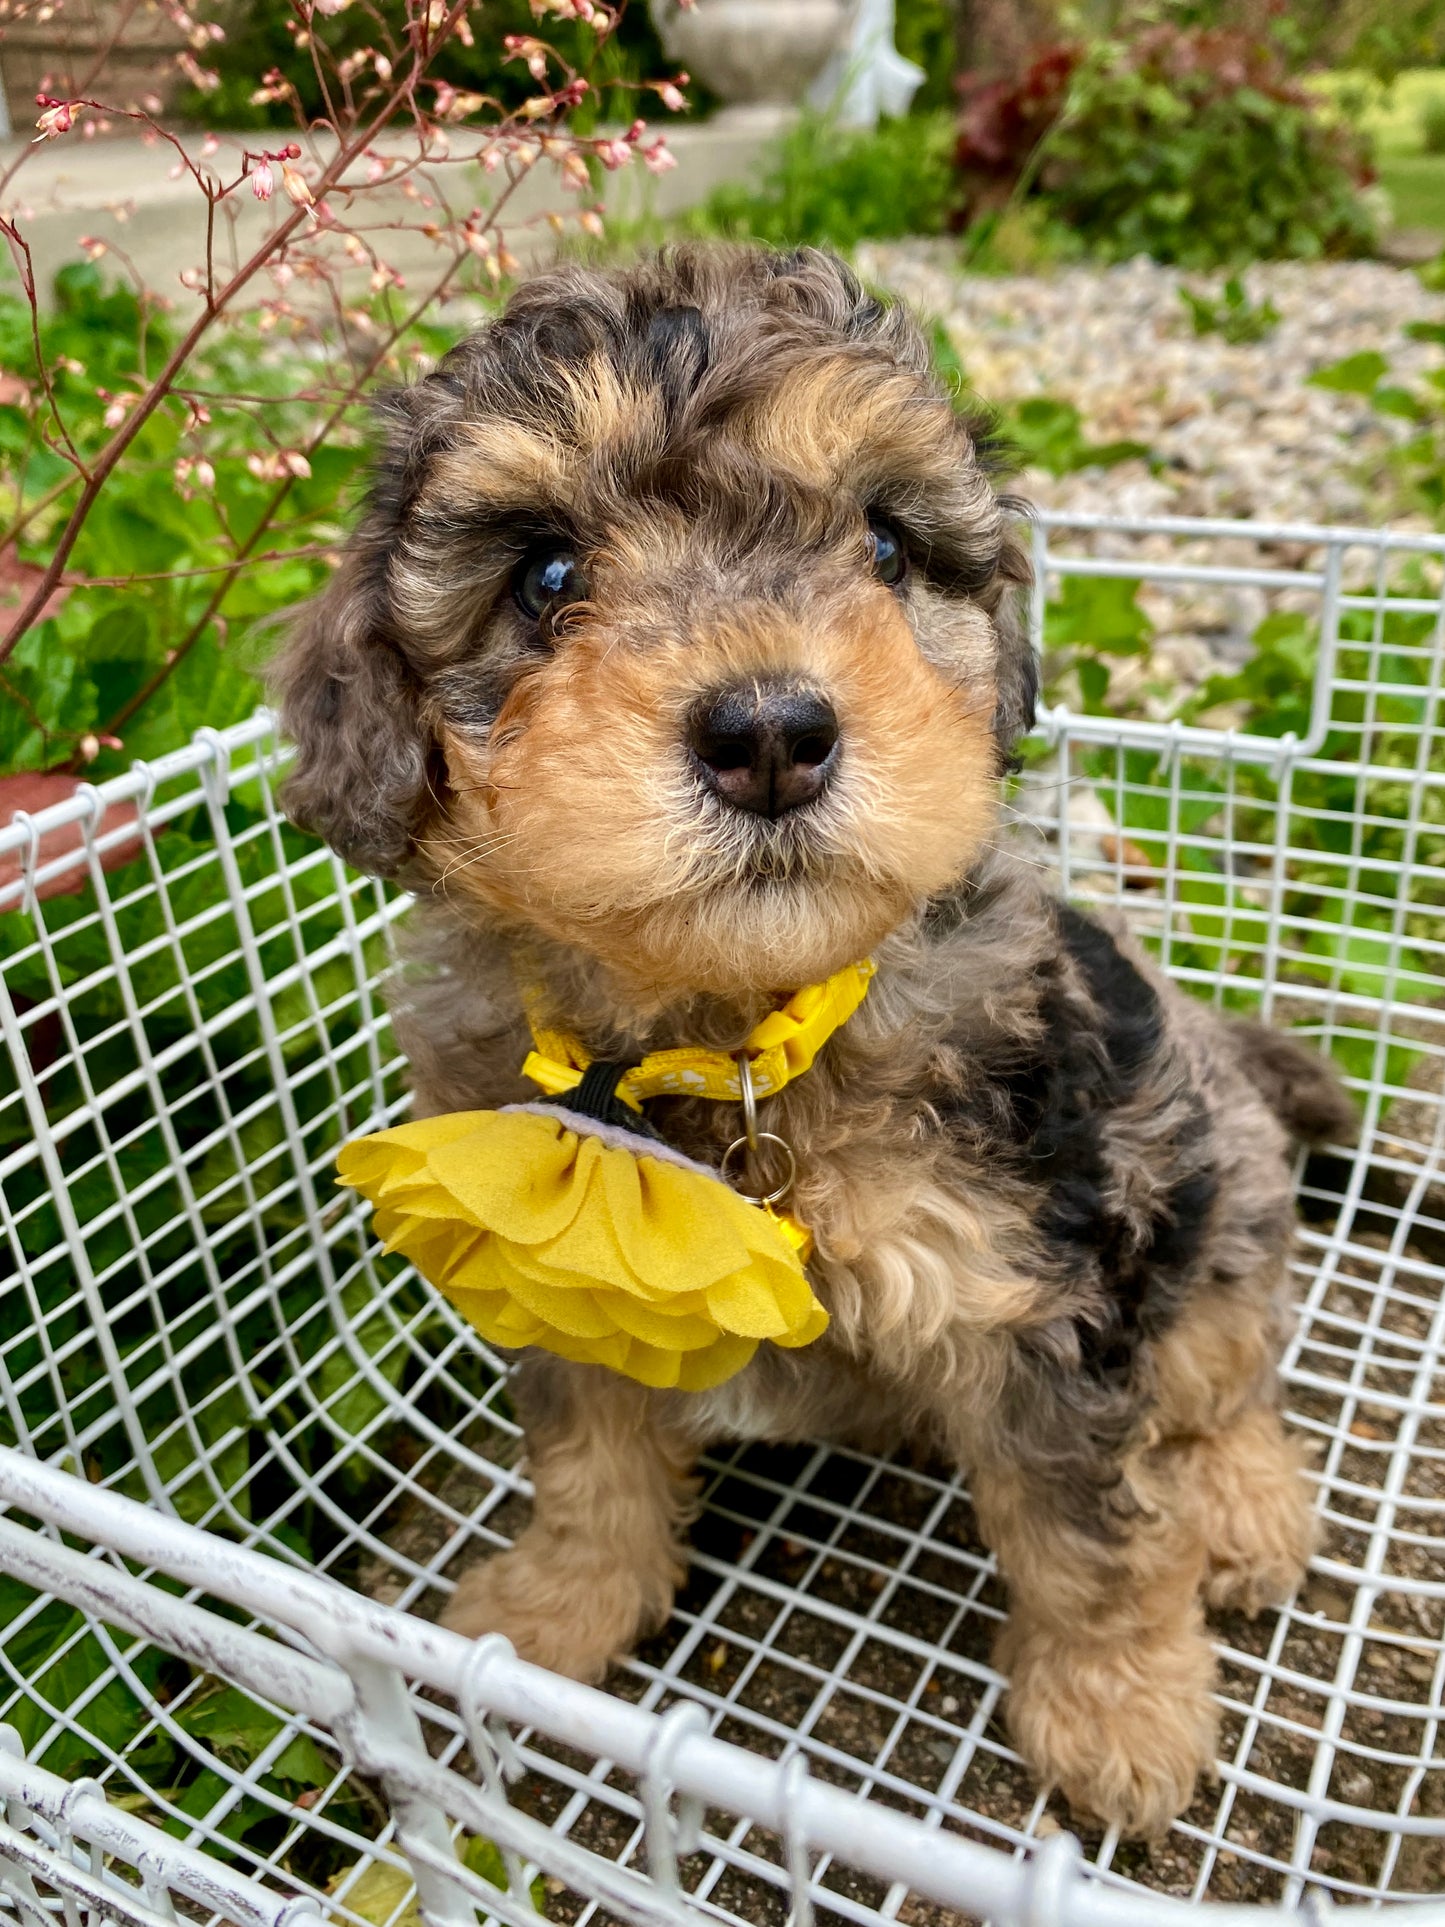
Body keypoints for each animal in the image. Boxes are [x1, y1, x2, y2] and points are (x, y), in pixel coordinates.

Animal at [273, 244, 1356, 1834]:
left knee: (1221, 1369)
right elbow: (586, 1454)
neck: (733, 1037)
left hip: (1203, 1180)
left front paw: (1119, 1708)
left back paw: (1243, 1512)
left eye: (888, 548)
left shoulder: (1041, 1284)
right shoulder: (564, 1271)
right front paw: (552, 1610)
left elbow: (1084, 1527)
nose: (772, 733)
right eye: (545, 576)